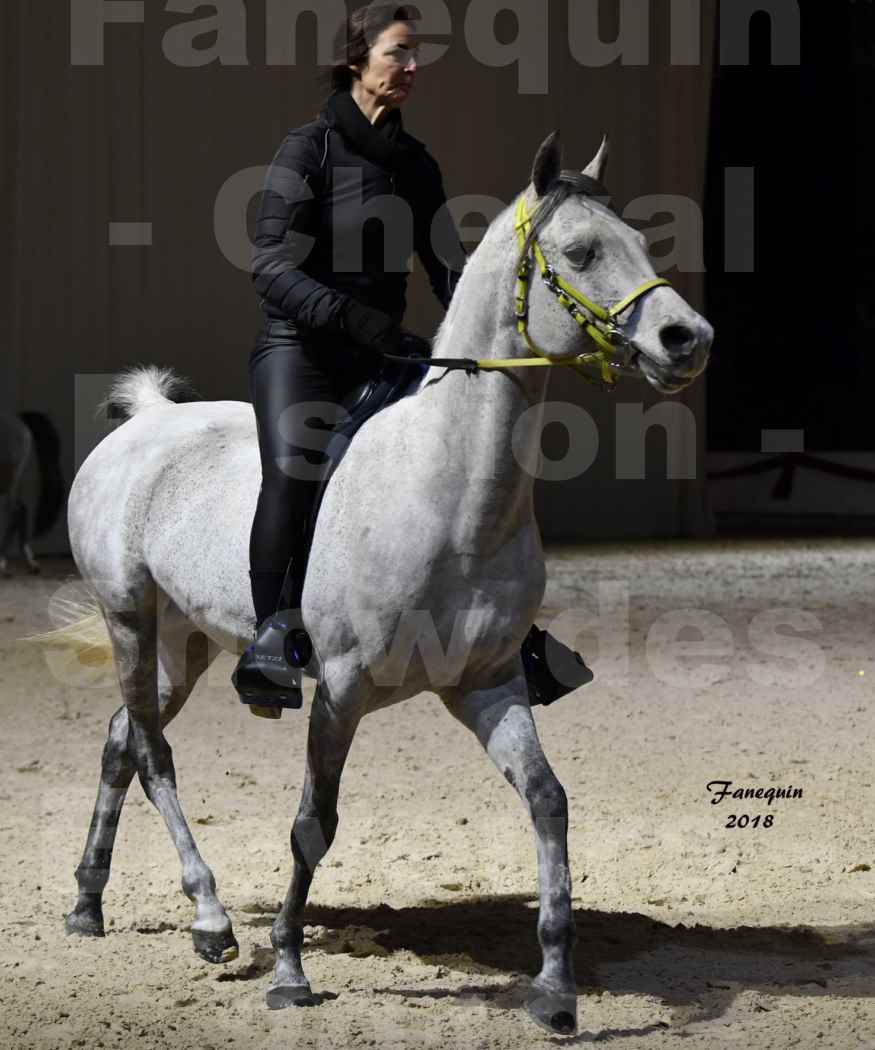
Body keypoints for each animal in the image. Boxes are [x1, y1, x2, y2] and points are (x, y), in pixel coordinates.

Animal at [55, 131, 712, 1036]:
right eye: (581, 251)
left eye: (642, 243)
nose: (689, 338)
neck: (452, 494)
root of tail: (150, 421)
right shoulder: (340, 686)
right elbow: (312, 824)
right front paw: (289, 972)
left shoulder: (487, 684)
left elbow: (547, 801)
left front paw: (554, 991)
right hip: (129, 616)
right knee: (153, 751)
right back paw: (212, 919)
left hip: (184, 641)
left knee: (124, 737)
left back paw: (91, 903)